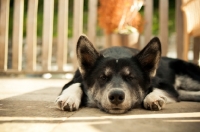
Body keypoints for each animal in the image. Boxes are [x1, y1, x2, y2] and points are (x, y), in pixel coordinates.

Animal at [55, 35, 200, 114]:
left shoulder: (167, 87)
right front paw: (69, 97)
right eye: (103, 77)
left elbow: (156, 89)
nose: (116, 96)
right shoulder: (75, 79)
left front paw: (152, 97)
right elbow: (75, 85)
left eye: (130, 77)